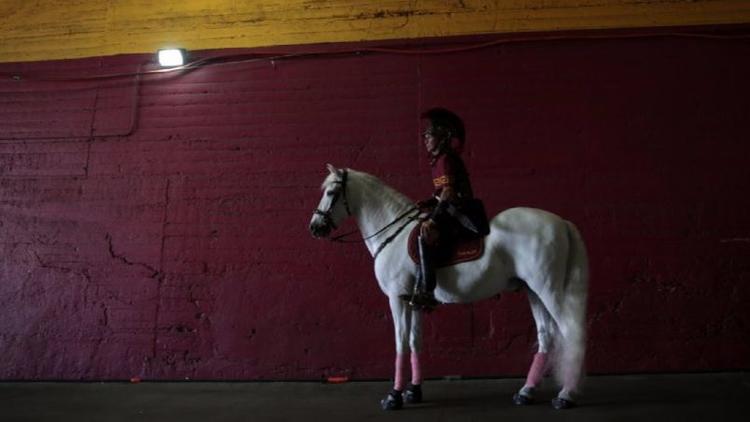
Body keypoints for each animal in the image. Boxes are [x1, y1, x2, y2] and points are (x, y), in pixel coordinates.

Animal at [308, 165, 592, 408]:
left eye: (331, 193)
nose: (315, 227)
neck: (394, 234)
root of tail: (562, 223)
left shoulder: (397, 298)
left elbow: (401, 343)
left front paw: (394, 396)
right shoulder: (414, 300)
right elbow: (415, 341)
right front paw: (413, 391)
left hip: (548, 290)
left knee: (570, 332)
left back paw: (565, 395)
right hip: (533, 292)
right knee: (547, 336)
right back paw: (526, 392)